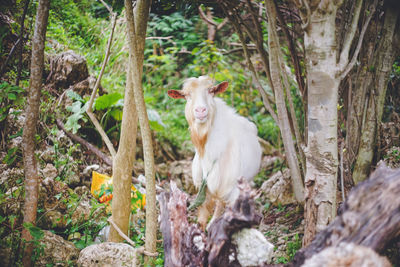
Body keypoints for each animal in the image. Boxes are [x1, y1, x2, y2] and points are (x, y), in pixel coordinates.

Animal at [167, 76, 260, 230]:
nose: (200, 110)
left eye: (211, 91)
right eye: (186, 95)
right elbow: (202, 216)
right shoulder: (203, 186)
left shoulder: (232, 189)